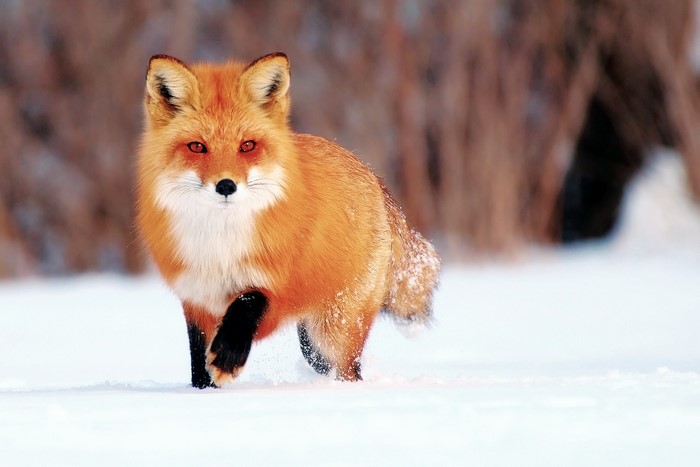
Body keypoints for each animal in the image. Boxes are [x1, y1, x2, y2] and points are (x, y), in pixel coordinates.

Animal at [136, 53, 440, 388]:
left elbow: (247, 303)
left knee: (350, 370)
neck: (220, 247)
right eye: (197, 147)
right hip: (313, 344)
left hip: (334, 330)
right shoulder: (196, 298)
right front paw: (203, 391)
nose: (226, 186)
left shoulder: (277, 287)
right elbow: (198, 363)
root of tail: (372, 175)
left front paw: (228, 358)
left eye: (247, 146)